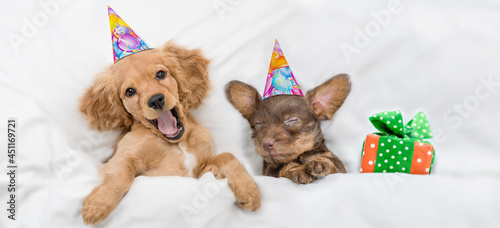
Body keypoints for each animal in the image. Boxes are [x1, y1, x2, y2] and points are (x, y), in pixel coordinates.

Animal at [79, 42, 260, 224]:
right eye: (129, 91)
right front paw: (97, 205)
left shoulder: (199, 173)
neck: (177, 143)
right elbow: (122, 175)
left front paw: (249, 191)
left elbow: (226, 156)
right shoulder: (121, 157)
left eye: (160, 74)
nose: (156, 100)